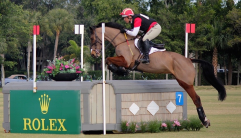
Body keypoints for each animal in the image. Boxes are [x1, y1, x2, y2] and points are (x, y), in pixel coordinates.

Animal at [90, 21, 226, 128]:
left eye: (91, 38)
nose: (93, 54)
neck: (122, 41)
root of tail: (189, 60)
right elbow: (108, 61)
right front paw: (119, 70)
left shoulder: (126, 61)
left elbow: (107, 59)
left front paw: (120, 70)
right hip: (182, 81)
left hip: (186, 82)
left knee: (196, 99)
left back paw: (205, 121)